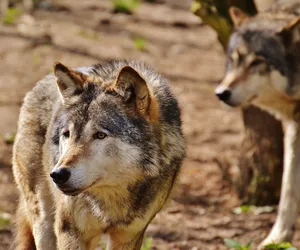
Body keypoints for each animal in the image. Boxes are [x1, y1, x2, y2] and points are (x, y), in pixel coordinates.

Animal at [12, 60, 185, 250]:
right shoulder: (70, 232)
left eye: (100, 135)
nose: (57, 175)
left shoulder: (129, 236)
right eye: (67, 134)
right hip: (45, 224)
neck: (111, 197)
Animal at [214, 0, 300, 248]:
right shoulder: (294, 128)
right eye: (233, 59)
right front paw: (278, 238)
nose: (221, 93)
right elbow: (288, 189)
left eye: (257, 62)